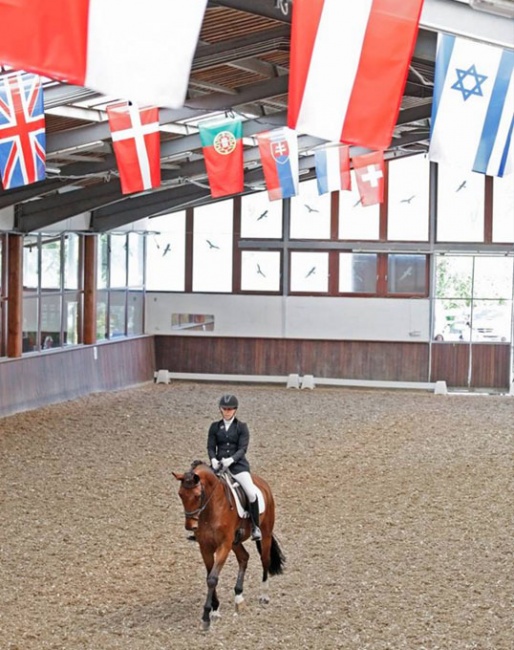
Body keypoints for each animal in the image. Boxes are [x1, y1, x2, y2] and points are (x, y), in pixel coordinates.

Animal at [171, 458, 284, 624]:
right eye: (180, 495)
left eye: (198, 495)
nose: (190, 526)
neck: (212, 508)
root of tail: (262, 483)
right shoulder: (205, 547)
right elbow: (209, 575)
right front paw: (215, 609)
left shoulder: (223, 545)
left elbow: (212, 578)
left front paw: (207, 615)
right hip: (235, 542)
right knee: (244, 557)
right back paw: (239, 598)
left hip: (265, 534)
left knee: (265, 560)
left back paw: (264, 596)